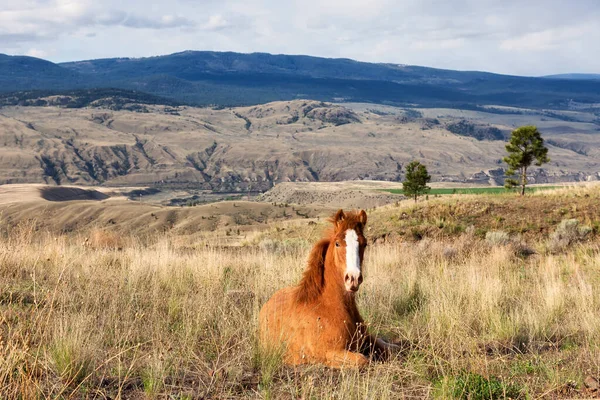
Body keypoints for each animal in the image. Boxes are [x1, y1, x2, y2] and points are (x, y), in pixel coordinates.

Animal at [258, 209, 398, 368]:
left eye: (365, 244)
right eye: (337, 243)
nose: (353, 279)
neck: (328, 306)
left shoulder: (367, 338)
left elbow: (391, 349)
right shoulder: (330, 353)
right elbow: (363, 360)